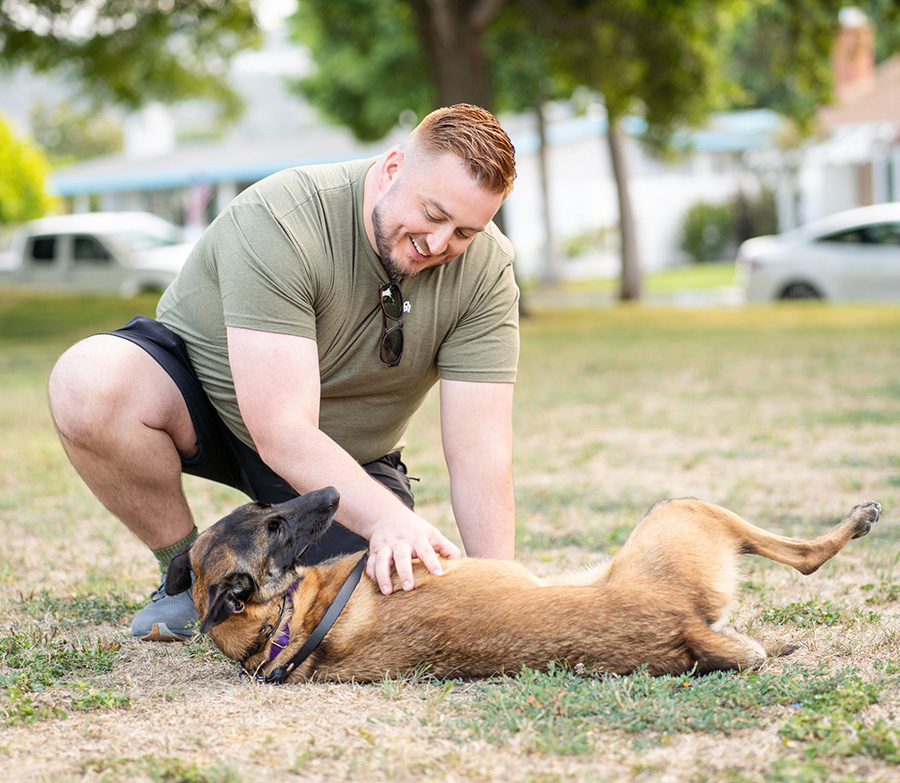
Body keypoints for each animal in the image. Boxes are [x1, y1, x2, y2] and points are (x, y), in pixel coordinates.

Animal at [165, 486, 884, 684]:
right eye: (277, 525)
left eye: (268, 509)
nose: (334, 493)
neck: (283, 622)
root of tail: (682, 627)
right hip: (683, 511)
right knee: (804, 557)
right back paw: (854, 522)